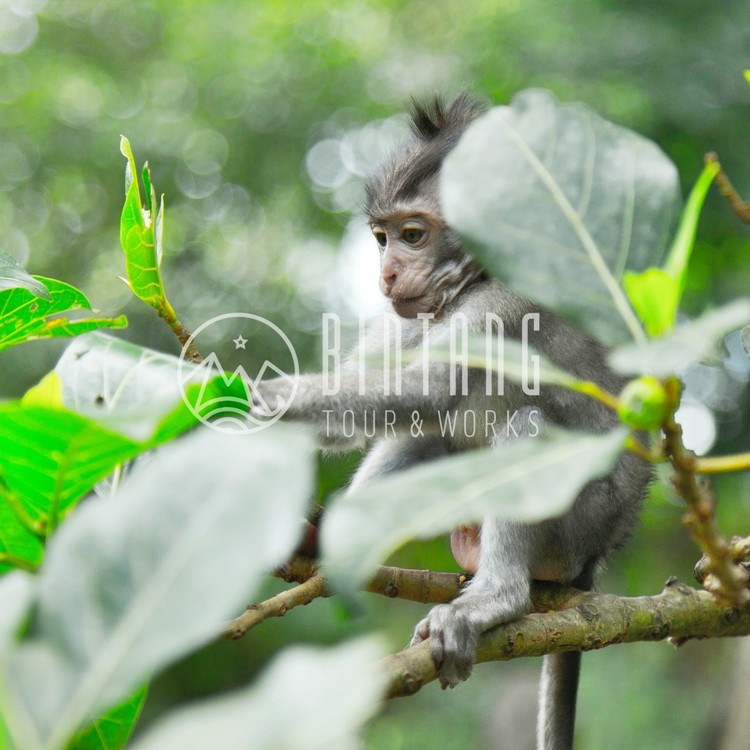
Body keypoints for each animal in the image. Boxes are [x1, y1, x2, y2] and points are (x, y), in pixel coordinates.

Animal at [252, 93, 650, 749]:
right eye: (382, 238)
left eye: (413, 235)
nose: (385, 275)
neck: (470, 282)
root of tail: (597, 558)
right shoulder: (411, 314)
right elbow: (379, 402)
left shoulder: (504, 301)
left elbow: (428, 390)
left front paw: (263, 396)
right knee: (426, 443)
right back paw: (329, 539)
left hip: (581, 523)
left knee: (527, 431)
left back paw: (494, 601)